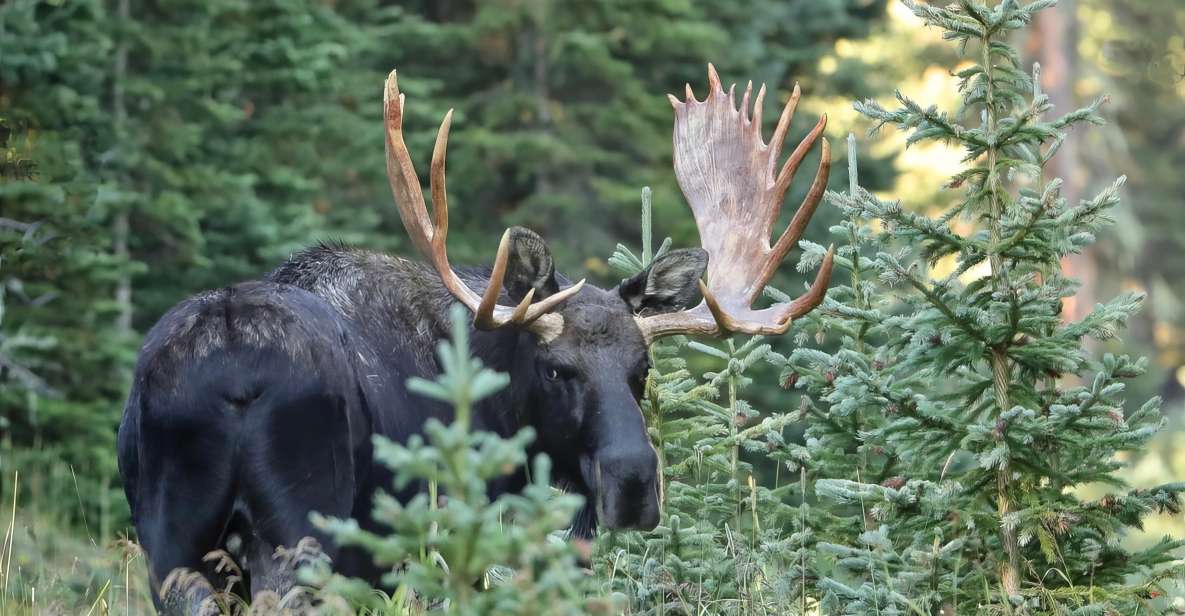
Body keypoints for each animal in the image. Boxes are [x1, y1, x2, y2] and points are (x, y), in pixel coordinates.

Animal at [113, 64, 834, 611]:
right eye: (555, 367)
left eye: (643, 369)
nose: (632, 481)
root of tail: (233, 364)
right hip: (305, 525)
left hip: (172, 538)